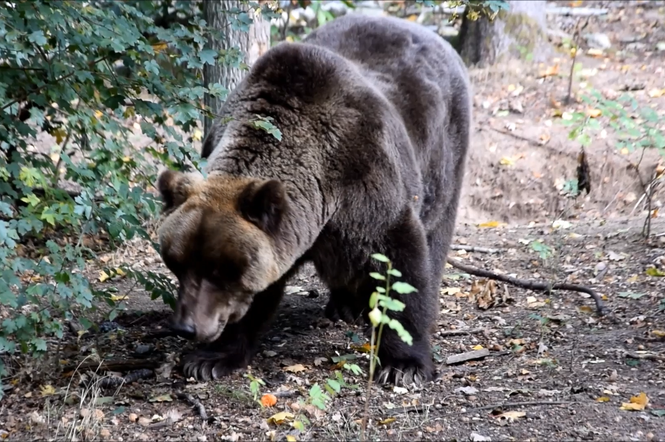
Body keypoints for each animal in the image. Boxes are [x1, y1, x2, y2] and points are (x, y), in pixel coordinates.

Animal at [156, 12, 470, 386]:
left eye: (221, 270)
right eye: (176, 262)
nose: (186, 327)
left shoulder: (366, 182)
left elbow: (401, 264)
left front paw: (403, 364)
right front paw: (210, 357)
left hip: (445, 150)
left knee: (435, 233)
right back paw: (345, 305)